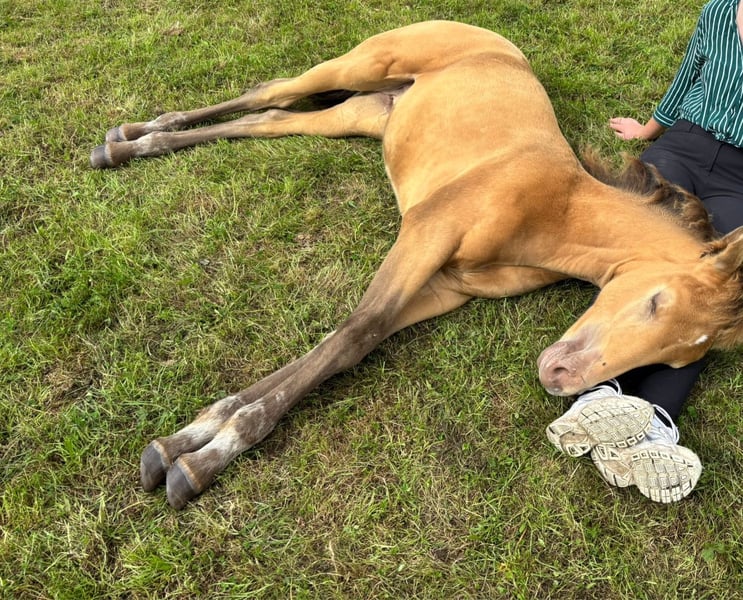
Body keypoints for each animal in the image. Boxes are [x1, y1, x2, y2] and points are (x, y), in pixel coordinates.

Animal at [90, 21, 743, 509]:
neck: (554, 209)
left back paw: (132, 144)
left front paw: (194, 438)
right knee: (271, 92)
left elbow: (343, 343)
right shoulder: (425, 233)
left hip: (363, 113)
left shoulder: (444, 287)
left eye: (678, 359)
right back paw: (127, 136)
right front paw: (202, 457)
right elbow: (356, 331)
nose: (559, 377)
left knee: (271, 118)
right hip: (358, 69)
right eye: (656, 302)